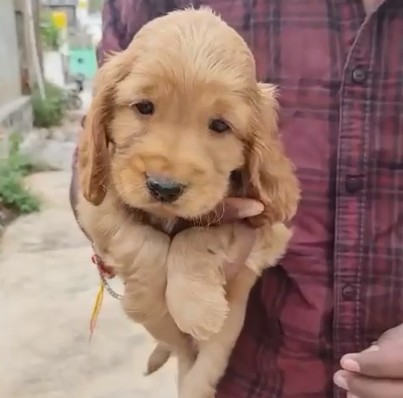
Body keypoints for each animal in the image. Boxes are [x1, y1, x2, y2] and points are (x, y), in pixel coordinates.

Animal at [76, 7, 300, 398]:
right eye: (144, 107)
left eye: (220, 125)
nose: (164, 188)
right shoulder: (96, 204)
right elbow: (142, 241)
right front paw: (150, 302)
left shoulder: (267, 226)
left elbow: (196, 235)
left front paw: (195, 309)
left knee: (202, 365)